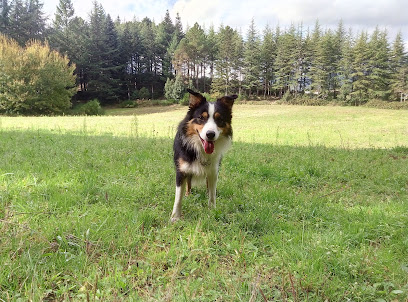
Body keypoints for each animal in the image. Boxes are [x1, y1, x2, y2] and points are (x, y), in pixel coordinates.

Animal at [171, 89, 237, 222]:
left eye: (219, 119)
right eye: (201, 117)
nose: (210, 134)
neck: (199, 148)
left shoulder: (213, 171)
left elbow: (212, 194)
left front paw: (212, 211)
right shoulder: (181, 171)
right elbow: (178, 197)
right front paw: (175, 217)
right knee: (189, 183)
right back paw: (188, 194)